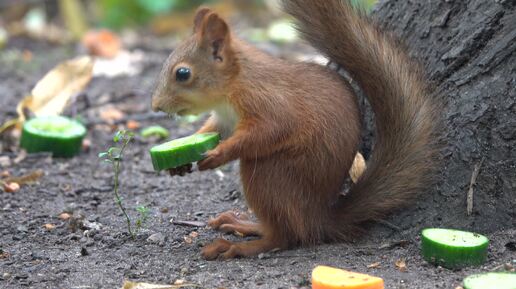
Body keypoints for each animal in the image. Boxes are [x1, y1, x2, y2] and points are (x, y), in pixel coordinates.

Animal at [151, 0, 438, 260]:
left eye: (183, 73)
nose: (156, 106)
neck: (233, 85)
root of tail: (319, 217)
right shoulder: (224, 119)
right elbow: (211, 131)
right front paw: (179, 161)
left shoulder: (270, 102)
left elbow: (270, 130)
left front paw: (219, 154)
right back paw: (245, 224)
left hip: (269, 174)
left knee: (286, 236)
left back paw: (239, 246)